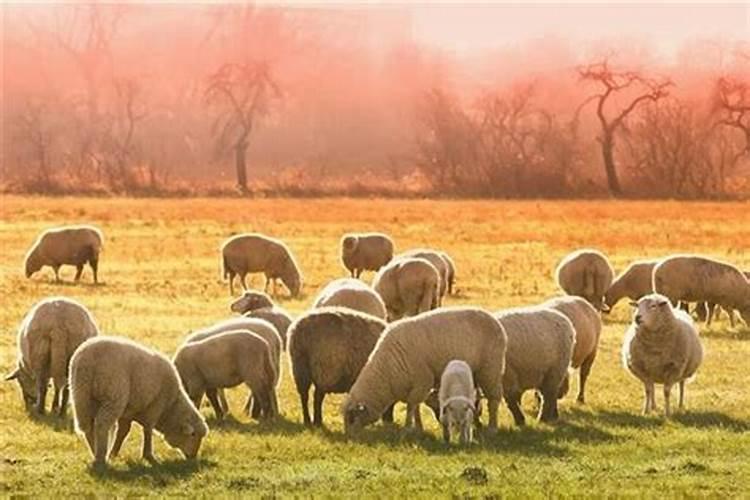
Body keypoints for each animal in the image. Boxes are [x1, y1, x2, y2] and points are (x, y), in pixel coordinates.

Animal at [70, 336, 209, 468]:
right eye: (193, 435)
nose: (193, 457)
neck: (171, 406)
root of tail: (88, 359)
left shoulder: (127, 411)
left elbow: (123, 432)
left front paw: (113, 453)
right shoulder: (155, 406)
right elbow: (147, 430)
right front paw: (149, 456)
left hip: (81, 395)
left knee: (87, 426)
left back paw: (95, 452)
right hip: (113, 395)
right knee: (101, 424)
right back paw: (100, 458)